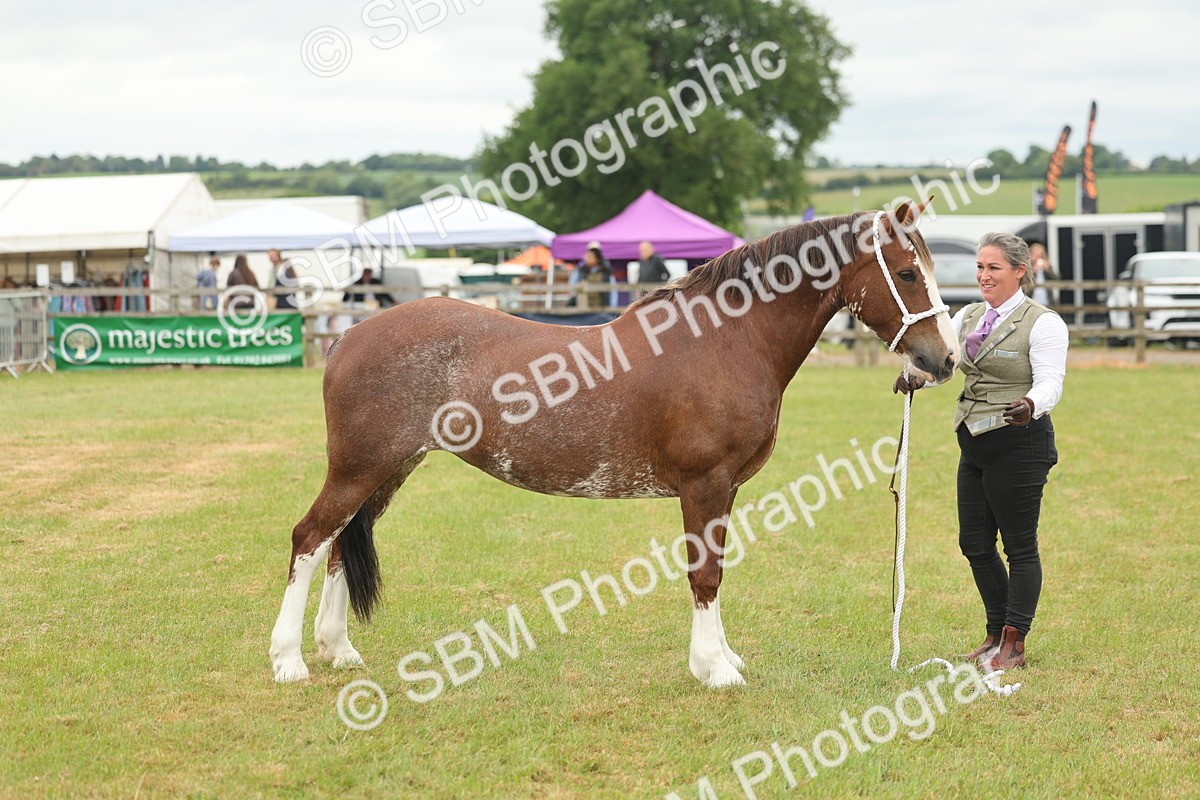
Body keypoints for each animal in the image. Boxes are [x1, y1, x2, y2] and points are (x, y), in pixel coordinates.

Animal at [269, 199, 958, 688]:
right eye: (905, 273)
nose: (944, 359)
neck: (724, 341)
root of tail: (349, 335)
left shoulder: (725, 491)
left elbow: (717, 569)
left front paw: (723, 657)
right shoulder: (704, 485)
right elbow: (705, 573)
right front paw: (715, 669)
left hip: (389, 469)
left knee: (338, 544)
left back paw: (338, 650)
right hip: (360, 467)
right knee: (310, 537)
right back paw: (289, 660)